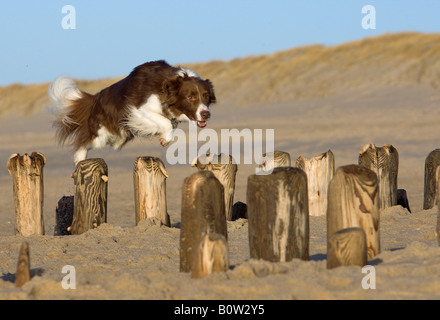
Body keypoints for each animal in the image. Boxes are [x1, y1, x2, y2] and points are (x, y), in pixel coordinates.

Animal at [48, 60, 217, 165]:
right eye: (190, 97)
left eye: (206, 96)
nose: (206, 114)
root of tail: (96, 97)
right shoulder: (138, 111)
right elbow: (166, 122)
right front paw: (164, 138)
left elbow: (170, 124)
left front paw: (165, 138)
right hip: (101, 133)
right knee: (84, 140)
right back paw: (79, 158)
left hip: (117, 135)